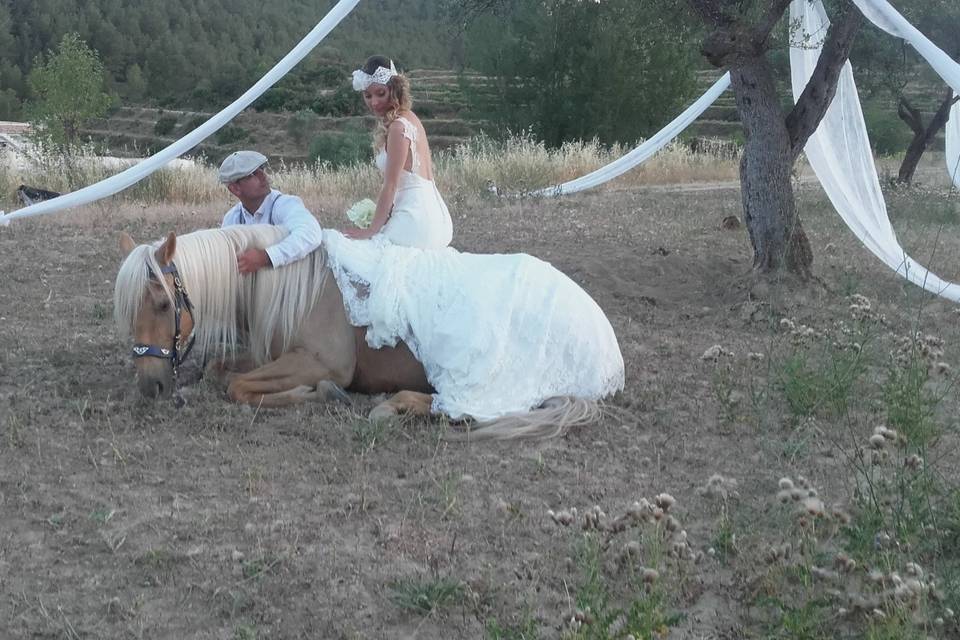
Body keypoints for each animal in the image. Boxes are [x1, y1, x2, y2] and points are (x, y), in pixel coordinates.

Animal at [114, 226, 624, 440]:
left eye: (163, 304)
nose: (149, 385)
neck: (296, 285)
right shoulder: (272, 353)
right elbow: (223, 370)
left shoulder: (320, 361)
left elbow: (237, 386)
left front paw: (318, 394)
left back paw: (391, 405)